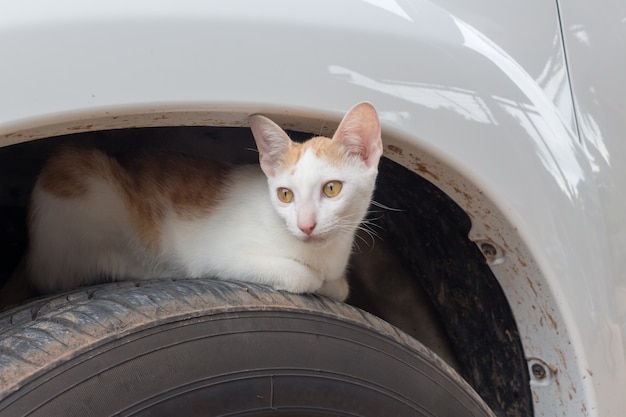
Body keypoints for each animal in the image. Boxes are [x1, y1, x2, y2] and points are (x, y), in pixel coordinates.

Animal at [19, 102, 380, 300]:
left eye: (331, 189)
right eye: (285, 194)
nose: (306, 225)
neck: (323, 256)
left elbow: (340, 286)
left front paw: (331, 284)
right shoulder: (223, 257)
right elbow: (303, 276)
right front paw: (313, 279)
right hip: (82, 179)